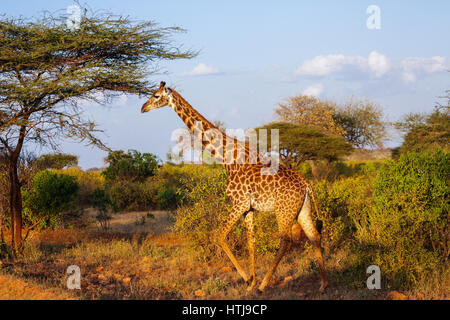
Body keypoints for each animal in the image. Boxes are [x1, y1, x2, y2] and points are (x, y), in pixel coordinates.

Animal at [142, 82, 328, 292]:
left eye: (156, 96)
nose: (143, 108)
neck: (226, 157)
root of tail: (306, 184)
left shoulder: (239, 203)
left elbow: (220, 236)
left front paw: (248, 280)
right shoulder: (249, 207)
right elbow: (250, 242)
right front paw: (250, 283)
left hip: (284, 210)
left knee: (286, 241)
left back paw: (264, 285)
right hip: (303, 209)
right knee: (314, 236)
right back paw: (323, 284)